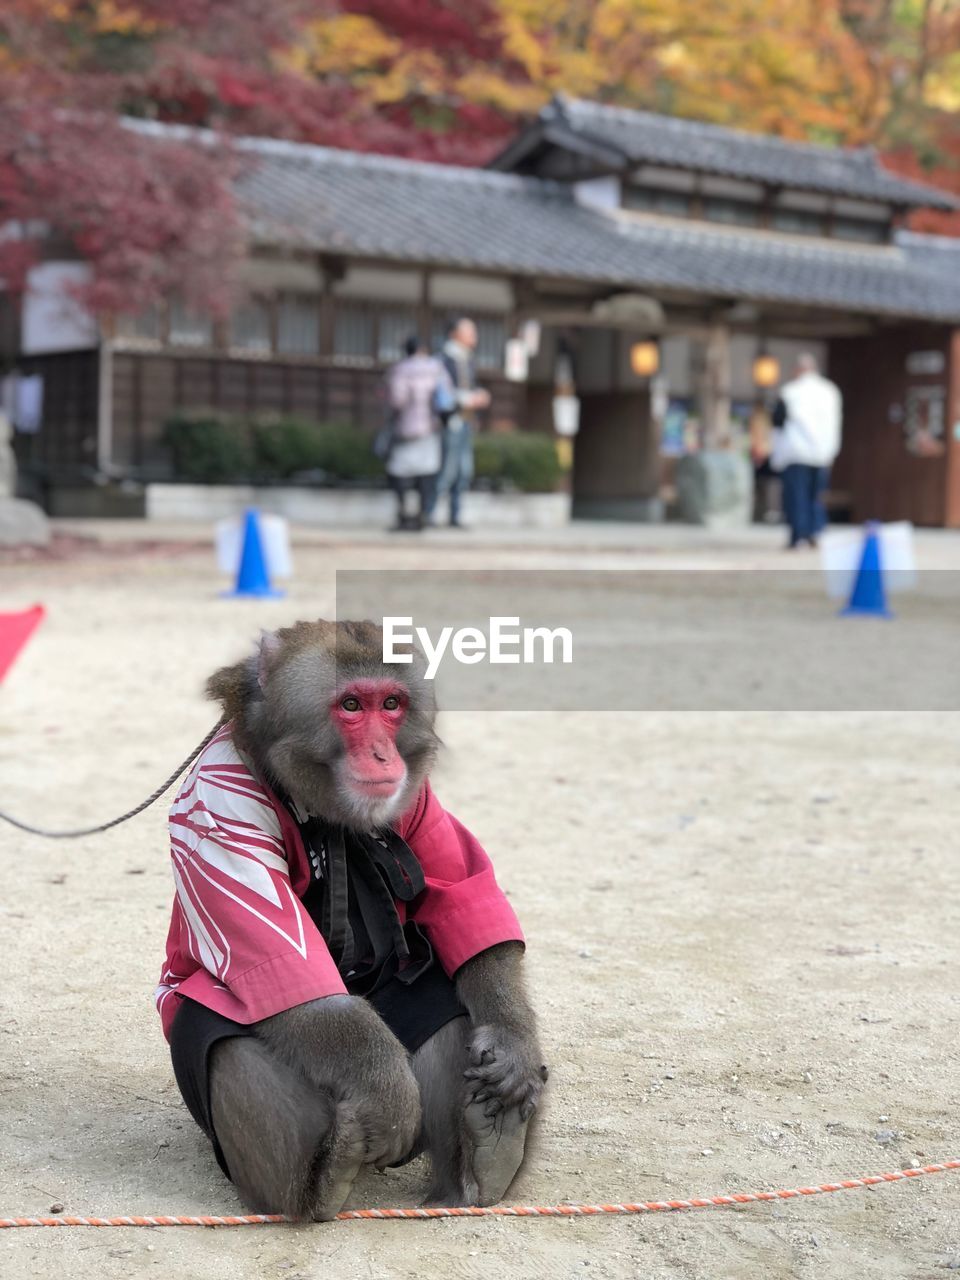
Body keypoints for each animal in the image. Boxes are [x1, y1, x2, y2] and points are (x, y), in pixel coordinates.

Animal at [158, 619, 547, 1218]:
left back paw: (485, 1160)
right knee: (230, 1043)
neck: (328, 816)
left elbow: (464, 902)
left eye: (390, 704)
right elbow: (294, 971)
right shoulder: (218, 808)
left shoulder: (416, 797)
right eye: (349, 706)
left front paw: (513, 1044)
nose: (384, 757)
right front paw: (389, 1097)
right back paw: (318, 1186)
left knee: (445, 1012)